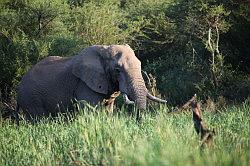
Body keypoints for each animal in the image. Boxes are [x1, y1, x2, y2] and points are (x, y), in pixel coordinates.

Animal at [16, 44, 166, 122]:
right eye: (117, 70)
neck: (103, 51)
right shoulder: (84, 84)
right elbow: (90, 111)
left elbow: (108, 110)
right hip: (31, 98)